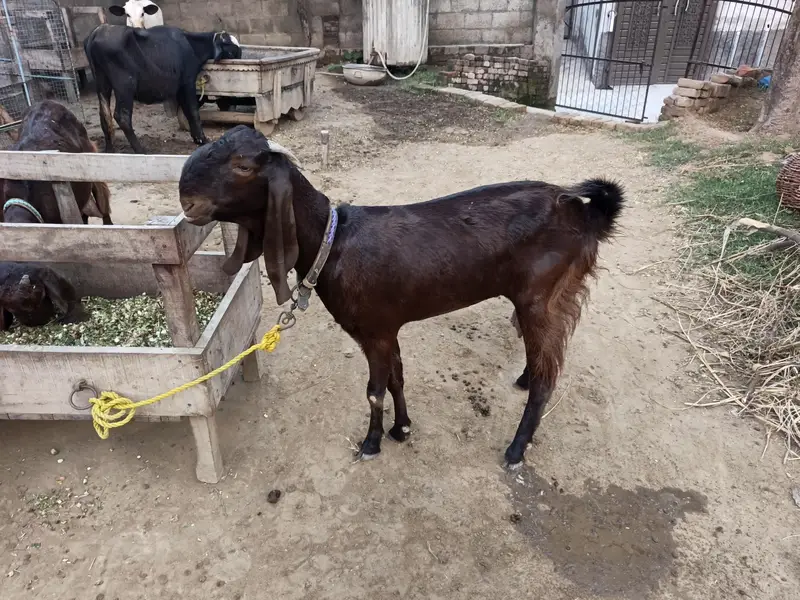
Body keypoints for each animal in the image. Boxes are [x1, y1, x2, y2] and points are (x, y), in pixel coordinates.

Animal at [83, 24, 241, 153]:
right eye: (231, 52)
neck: (190, 44)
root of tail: (98, 31)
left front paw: (197, 138)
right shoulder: (187, 82)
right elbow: (193, 111)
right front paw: (202, 139)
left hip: (102, 84)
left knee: (104, 116)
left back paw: (109, 150)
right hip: (125, 85)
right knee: (122, 116)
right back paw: (141, 150)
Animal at [178, 126, 624, 469]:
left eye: (243, 166)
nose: (187, 200)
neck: (332, 242)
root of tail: (586, 213)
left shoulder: (374, 329)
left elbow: (374, 389)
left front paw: (371, 443)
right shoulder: (384, 329)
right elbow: (395, 377)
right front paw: (402, 428)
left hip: (542, 298)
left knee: (549, 376)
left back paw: (516, 449)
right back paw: (523, 380)